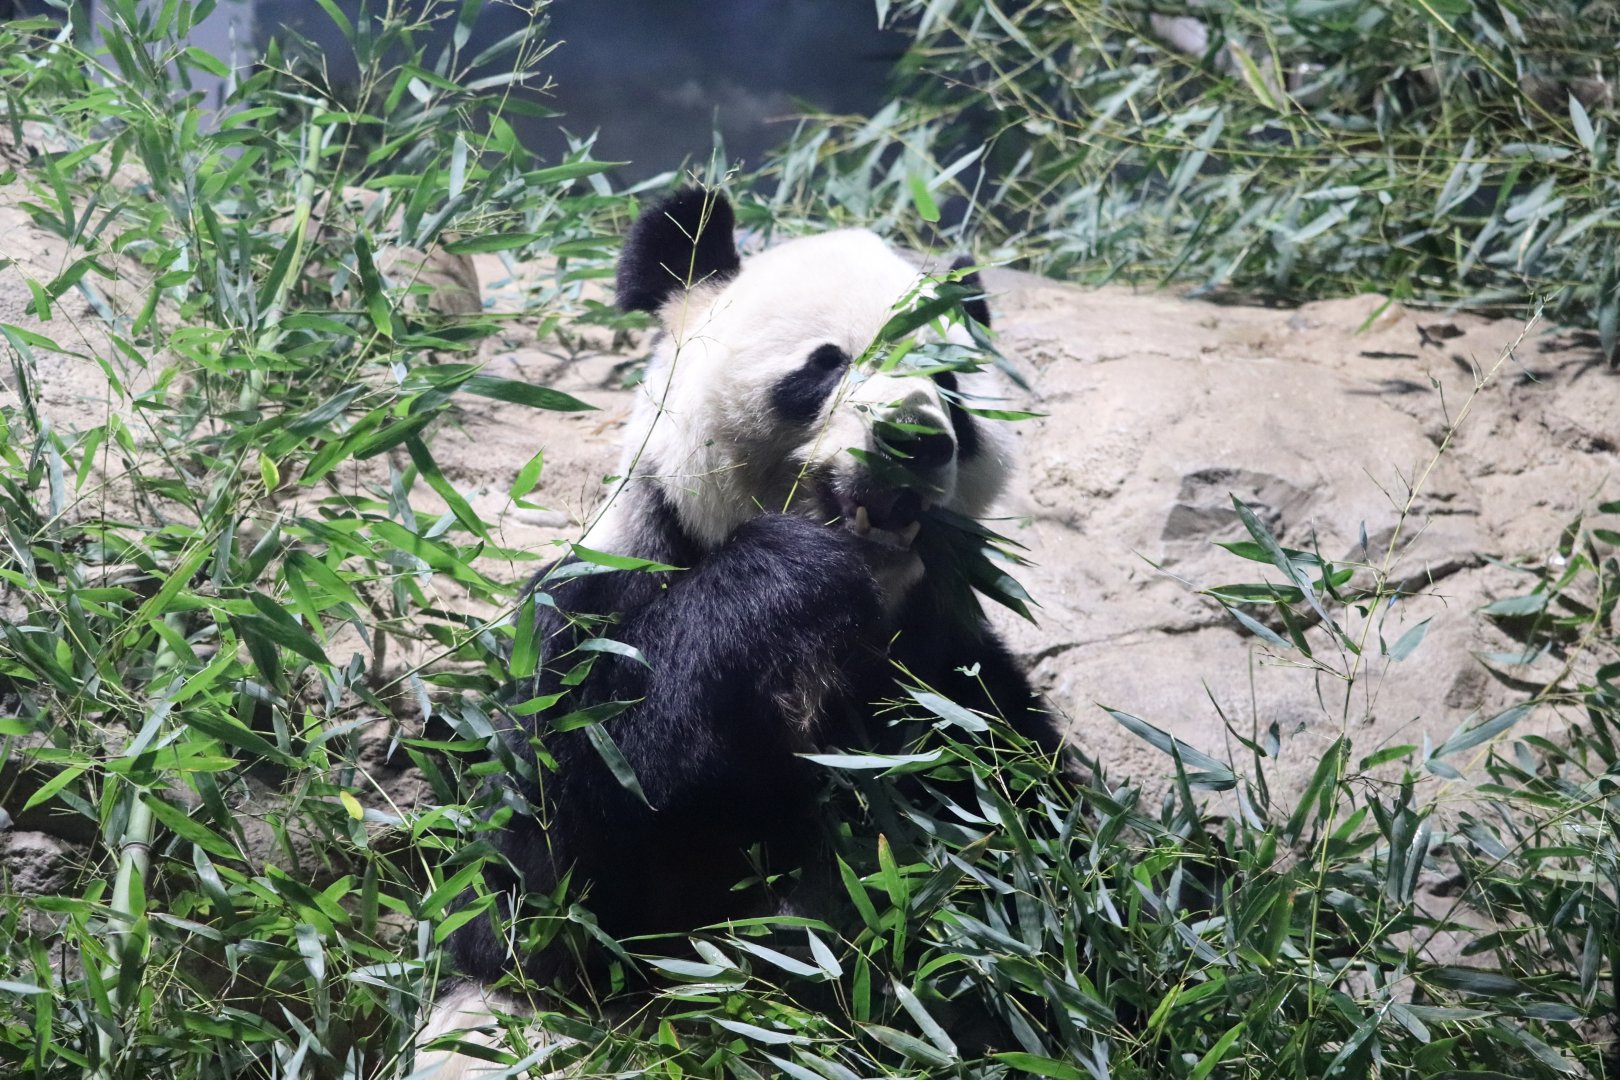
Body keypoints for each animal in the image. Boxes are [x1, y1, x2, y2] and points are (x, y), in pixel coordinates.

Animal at [420, 187, 1067, 1070]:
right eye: (826, 364)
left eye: (950, 383)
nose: (914, 438)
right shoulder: (590, 616)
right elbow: (545, 895)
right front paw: (787, 572)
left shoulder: (952, 683)